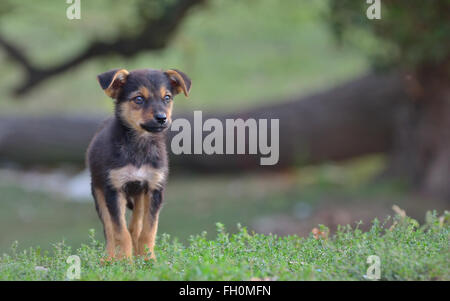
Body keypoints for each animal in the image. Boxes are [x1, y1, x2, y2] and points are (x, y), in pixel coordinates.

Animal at [87, 67, 191, 258]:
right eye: (139, 99)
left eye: (167, 98)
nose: (162, 118)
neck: (140, 145)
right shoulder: (114, 190)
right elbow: (120, 233)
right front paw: (124, 261)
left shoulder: (154, 188)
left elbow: (148, 230)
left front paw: (148, 259)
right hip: (98, 191)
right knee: (109, 230)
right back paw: (109, 258)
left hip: (140, 195)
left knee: (135, 226)